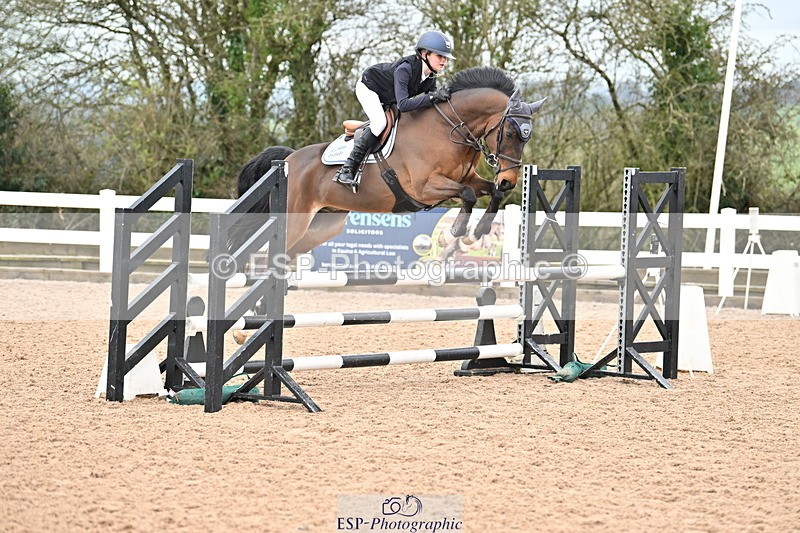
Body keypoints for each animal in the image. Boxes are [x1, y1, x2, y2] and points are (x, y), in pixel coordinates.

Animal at [230, 66, 545, 261]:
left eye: (528, 137)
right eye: (510, 133)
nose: (509, 180)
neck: (450, 128)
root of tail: (286, 161)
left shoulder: (466, 178)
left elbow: (491, 193)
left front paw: (478, 231)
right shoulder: (425, 188)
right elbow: (467, 195)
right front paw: (458, 230)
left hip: (322, 225)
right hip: (294, 221)